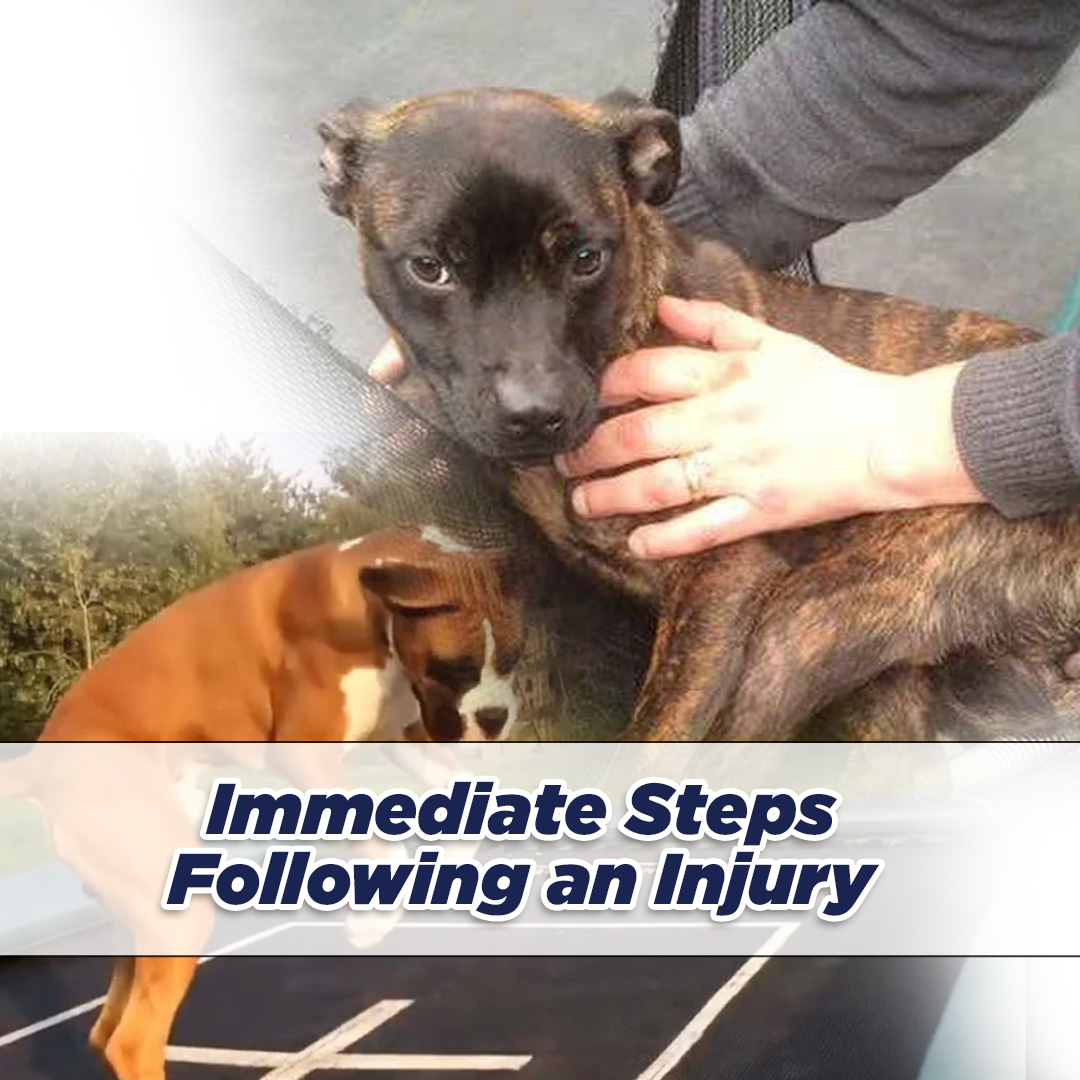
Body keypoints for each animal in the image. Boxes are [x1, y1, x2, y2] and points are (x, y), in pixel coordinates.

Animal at [0, 527, 522, 1080]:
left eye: (511, 659)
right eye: (454, 668)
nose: (494, 717)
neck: (373, 608)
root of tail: (37, 762)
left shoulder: (401, 734)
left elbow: (460, 786)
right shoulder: (303, 749)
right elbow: (370, 835)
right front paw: (370, 923)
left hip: (138, 904)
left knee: (106, 1030)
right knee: (133, 1040)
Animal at [315, 88, 1080, 743]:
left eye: (587, 258)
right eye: (430, 268)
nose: (535, 413)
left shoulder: (720, 579)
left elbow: (657, 737)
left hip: (804, 624)